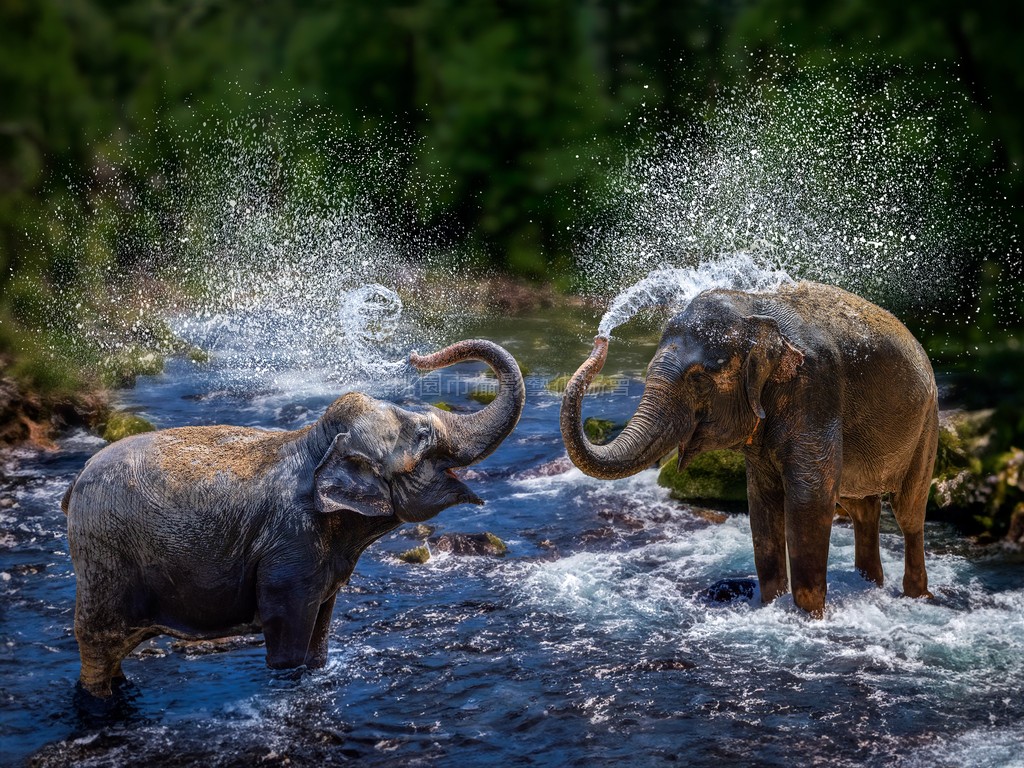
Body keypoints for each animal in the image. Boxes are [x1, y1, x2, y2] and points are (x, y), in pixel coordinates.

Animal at [63, 339, 525, 697]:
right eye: (425, 437)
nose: (414, 357)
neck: (312, 443)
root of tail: (74, 485)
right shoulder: (289, 549)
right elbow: (286, 633)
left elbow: (320, 630)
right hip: (104, 558)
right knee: (97, 646)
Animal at [560, 281, 938, 617]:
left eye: (698, 379)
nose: (601, 338)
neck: (756, 309)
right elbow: (760, 501)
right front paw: (772, 606)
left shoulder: (816, 390)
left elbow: (809, 498)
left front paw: (809, 618)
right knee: (862, 508)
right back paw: (870, 585)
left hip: (926, 427)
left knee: (908, 513)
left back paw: (916, 596)